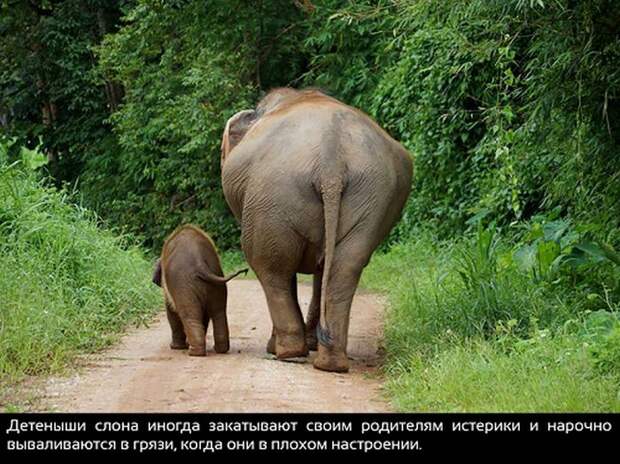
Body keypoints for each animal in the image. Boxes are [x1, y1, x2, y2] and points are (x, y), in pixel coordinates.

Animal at [153, 225, 247, 356]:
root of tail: (200, 264)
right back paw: (219, 350)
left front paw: (175, 347)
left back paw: (194, 352)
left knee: (189, 315)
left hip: (183, 284)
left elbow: (171, 312)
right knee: (219, 312)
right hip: (215, 280)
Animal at [219, 88, 412, 374]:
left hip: (273, 196)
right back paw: (330, 363)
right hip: (371, 193)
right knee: (345, 266)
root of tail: (332, 161)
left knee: (271, 268)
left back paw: (287, 352)